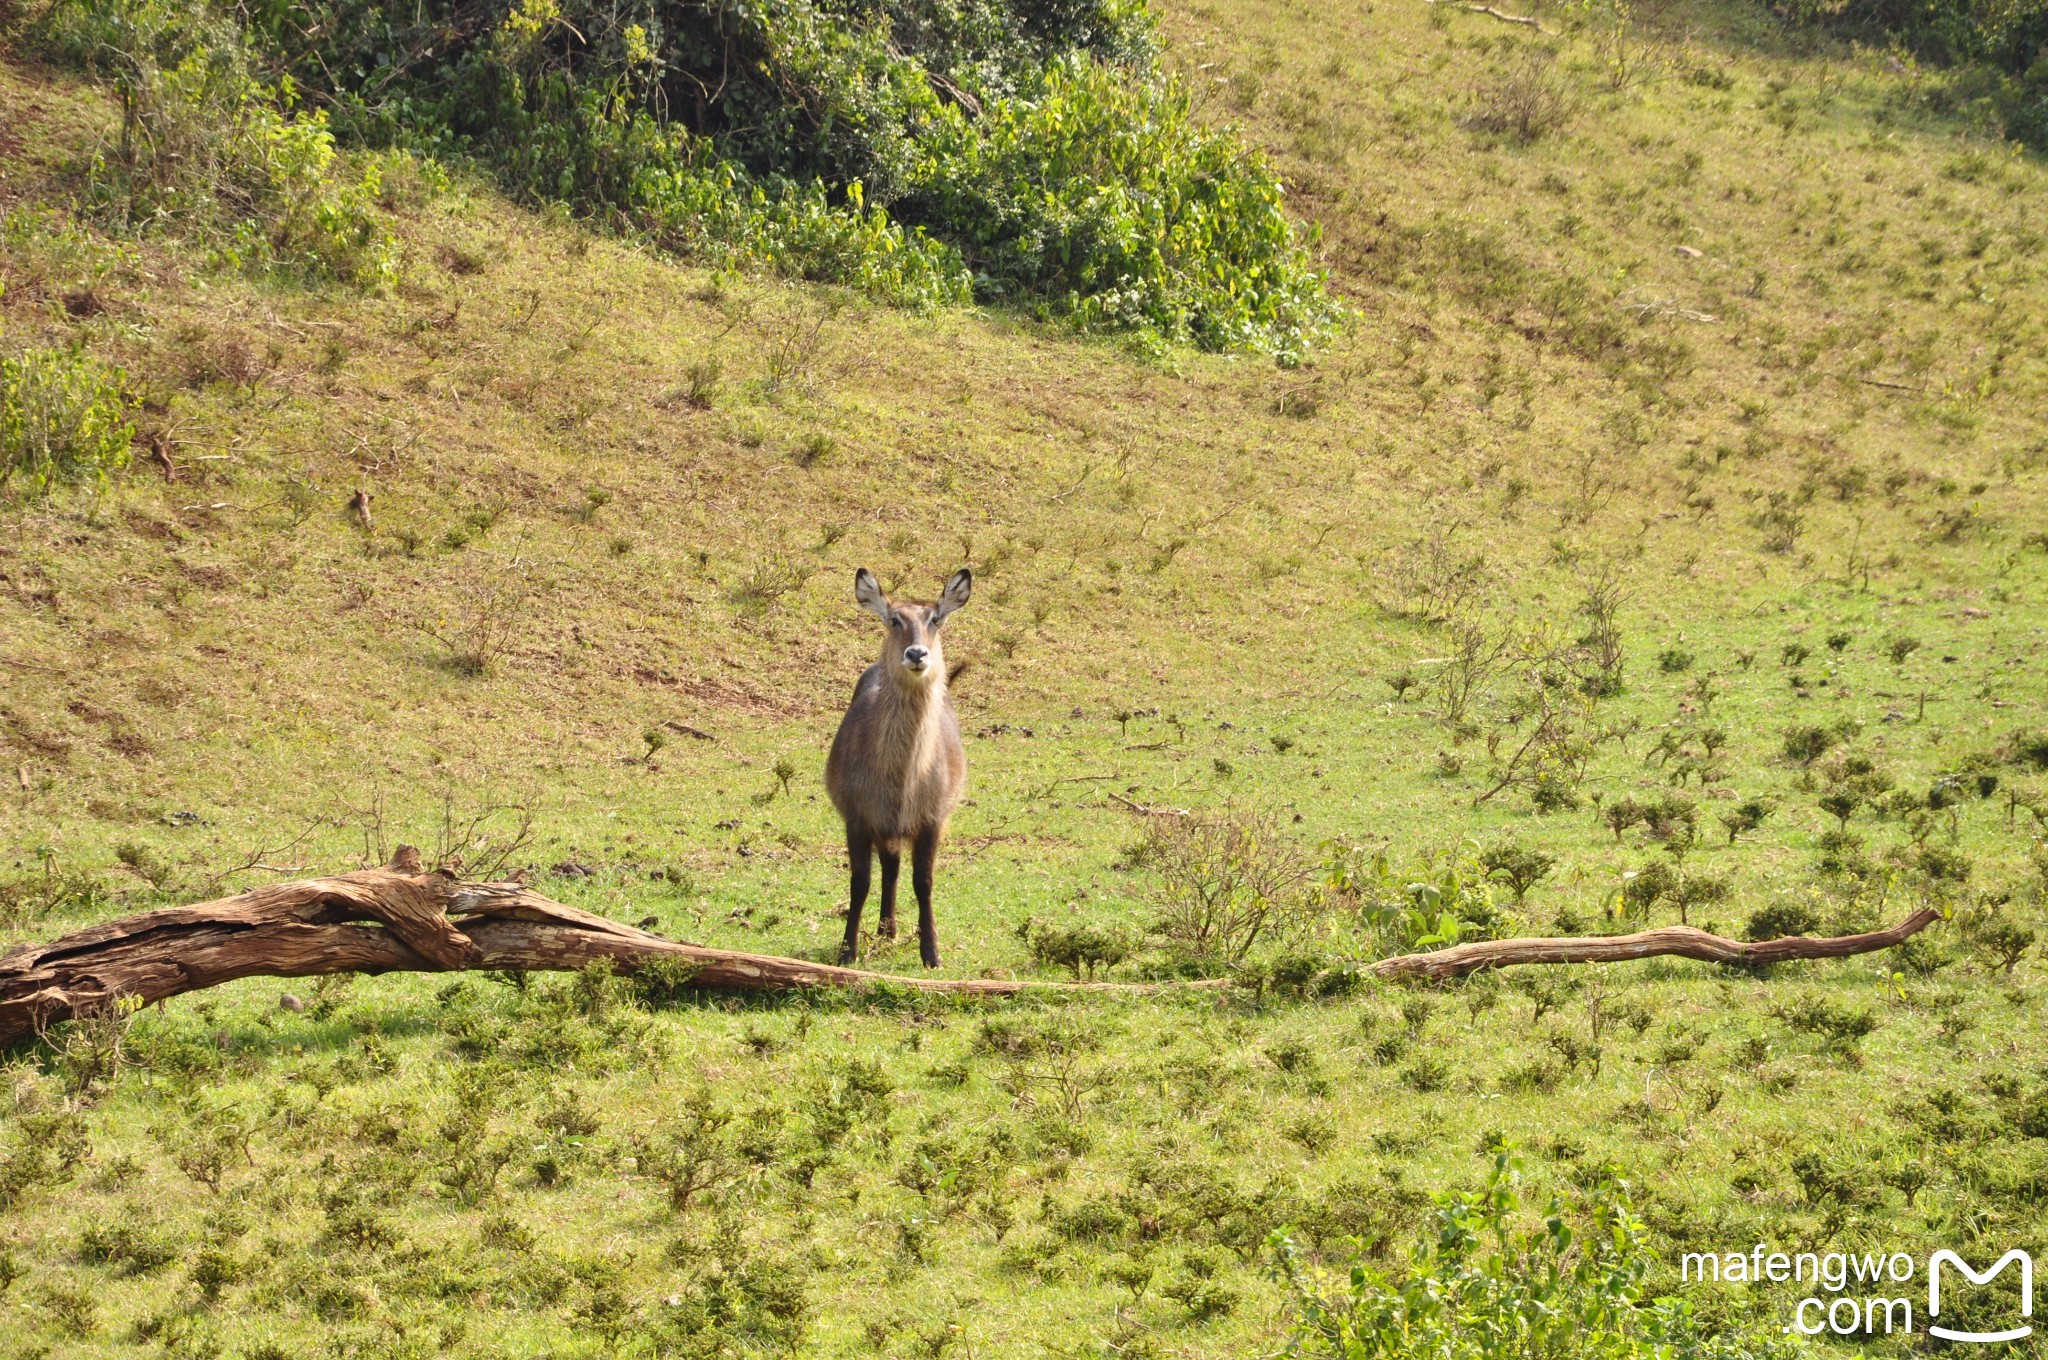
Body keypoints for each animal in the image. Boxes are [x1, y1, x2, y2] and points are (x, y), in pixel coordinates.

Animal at [823, 561, 966, 966]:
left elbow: (924, 882)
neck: (903, 779)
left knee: (896, 868)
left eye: (934, 618)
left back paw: (890, 931)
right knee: (889, 867)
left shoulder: (932, 819)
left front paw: (931, 953)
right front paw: (847, 952)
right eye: (893, 619)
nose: (917, 654)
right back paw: (886, 931)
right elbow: (860, 883)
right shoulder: (857, 818)